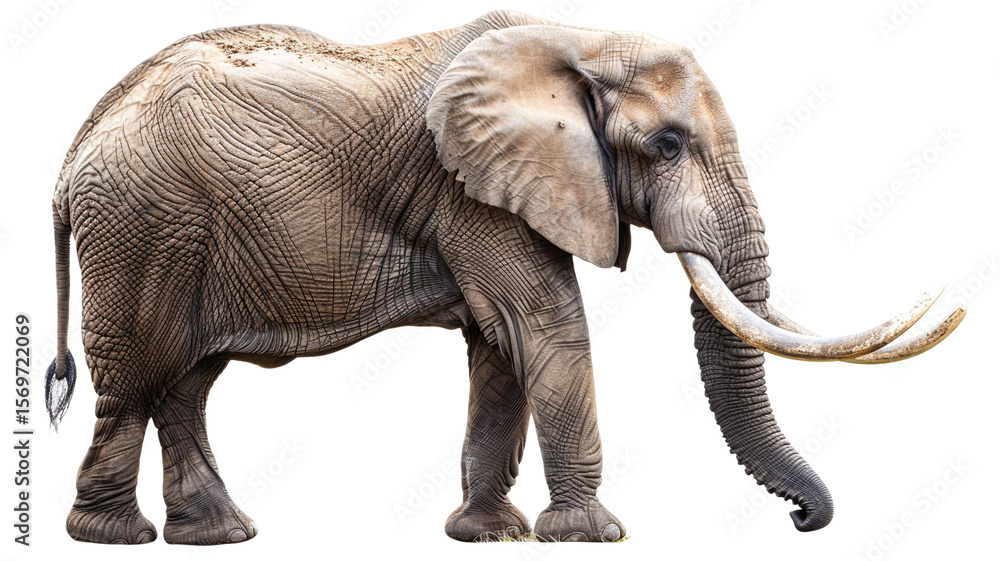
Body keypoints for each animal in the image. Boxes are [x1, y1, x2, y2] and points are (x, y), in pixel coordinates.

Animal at [45, 9, 965, 545]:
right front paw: (590, 534)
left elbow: (500, 344)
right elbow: (546, 322)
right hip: (140, 224)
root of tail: (72, 152)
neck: (580, 40)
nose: (805, 518)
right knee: (137, 376)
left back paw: (220, 535)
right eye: (666, 145)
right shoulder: (467, 189)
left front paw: (488, 535)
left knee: (186, 380)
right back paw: (113, 536)